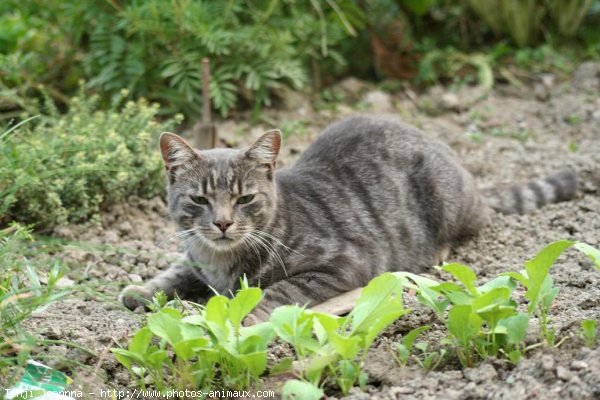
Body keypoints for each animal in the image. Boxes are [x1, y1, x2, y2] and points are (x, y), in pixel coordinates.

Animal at [120, 114, 576, 324]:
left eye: (245, 198)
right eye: (199, 199)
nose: (222, 223)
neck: (220, 260)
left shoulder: (345, 261)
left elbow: (282, 288)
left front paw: (249, 314)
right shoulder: (193, 257)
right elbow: (174, 272)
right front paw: (141, 290)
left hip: (447, 200)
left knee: (474, 224)